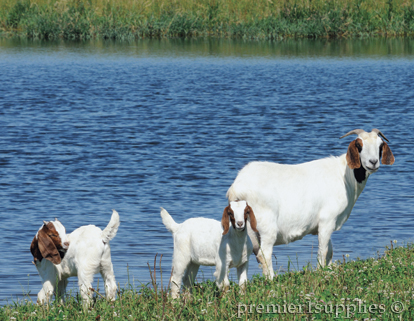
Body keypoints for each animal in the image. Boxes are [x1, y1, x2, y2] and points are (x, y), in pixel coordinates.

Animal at [226, 127, 394, 278]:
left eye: (380, 145)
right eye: (359, 145)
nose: (373, 162)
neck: (344, 176)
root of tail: (237, 186)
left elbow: (330, 251)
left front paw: (329, 270)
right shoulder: (327, 219)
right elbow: (323, 250)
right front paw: (322, 272)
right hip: (267, 226)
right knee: (265, 253)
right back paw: (272, 280)